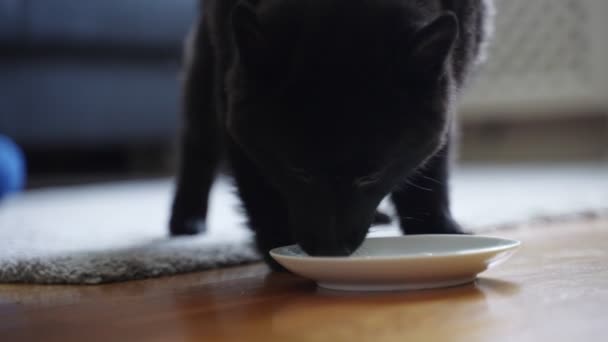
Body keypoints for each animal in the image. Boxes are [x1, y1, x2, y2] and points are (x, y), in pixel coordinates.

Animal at [169, 0, 492, 268]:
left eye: (371, 176)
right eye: (297, 170)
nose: (330, 250)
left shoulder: (446, 88)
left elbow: (432, 169)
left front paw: (437, 229)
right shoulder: (235, 94)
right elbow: (259, 187)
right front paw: (277, 245)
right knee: (198, 138)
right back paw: (187, 219)